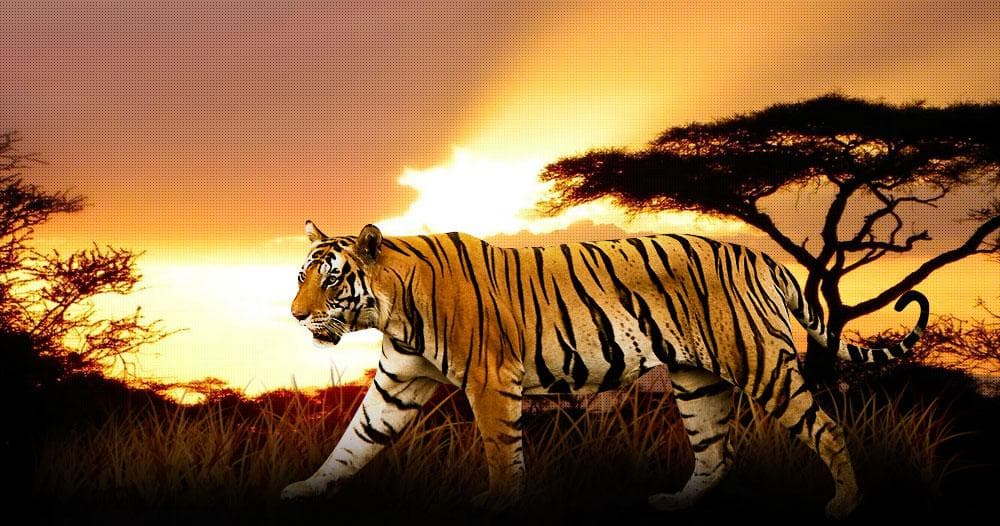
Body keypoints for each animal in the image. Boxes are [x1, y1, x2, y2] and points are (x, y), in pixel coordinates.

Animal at [279, 221, 928, 518]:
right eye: (301, 277)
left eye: (330, 280)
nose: (295, 316)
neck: (392, 310)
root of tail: (762, 256)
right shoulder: (399, 384)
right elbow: (354, 441)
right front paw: (307, 488)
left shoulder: (491, 383)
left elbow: (500, 452)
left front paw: (497, 503)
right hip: (697, 383)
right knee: (715, 452)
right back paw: (675, 502)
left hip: (762, 362)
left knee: (825, 426)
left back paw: (845, 503)